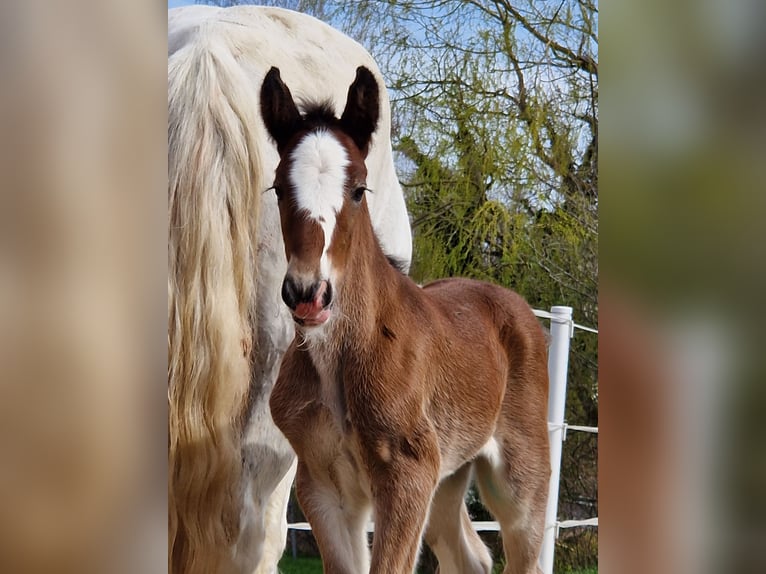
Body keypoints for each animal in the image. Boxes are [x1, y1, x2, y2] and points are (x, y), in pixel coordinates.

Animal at [261, 66, 551, 574]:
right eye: (278, 188)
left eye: (359, 189)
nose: (309, 295)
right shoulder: (323, 486)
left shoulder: (406, 476)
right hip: (449, 475)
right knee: (469, 556)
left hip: (520, 478)